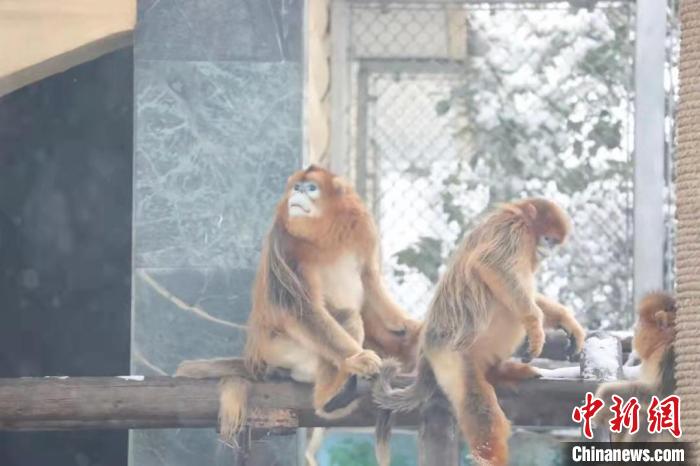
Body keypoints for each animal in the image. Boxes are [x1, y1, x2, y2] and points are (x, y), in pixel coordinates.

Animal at [374, 198, 588, 464]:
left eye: (554, 243)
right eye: (547, 238)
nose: (548, 251)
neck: (521, 217)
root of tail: (426, 350)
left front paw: (566, 320)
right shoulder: (513, 230)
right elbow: (492, 265)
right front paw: (535, 325)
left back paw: (499, 371)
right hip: (450, 356)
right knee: (477, 400)